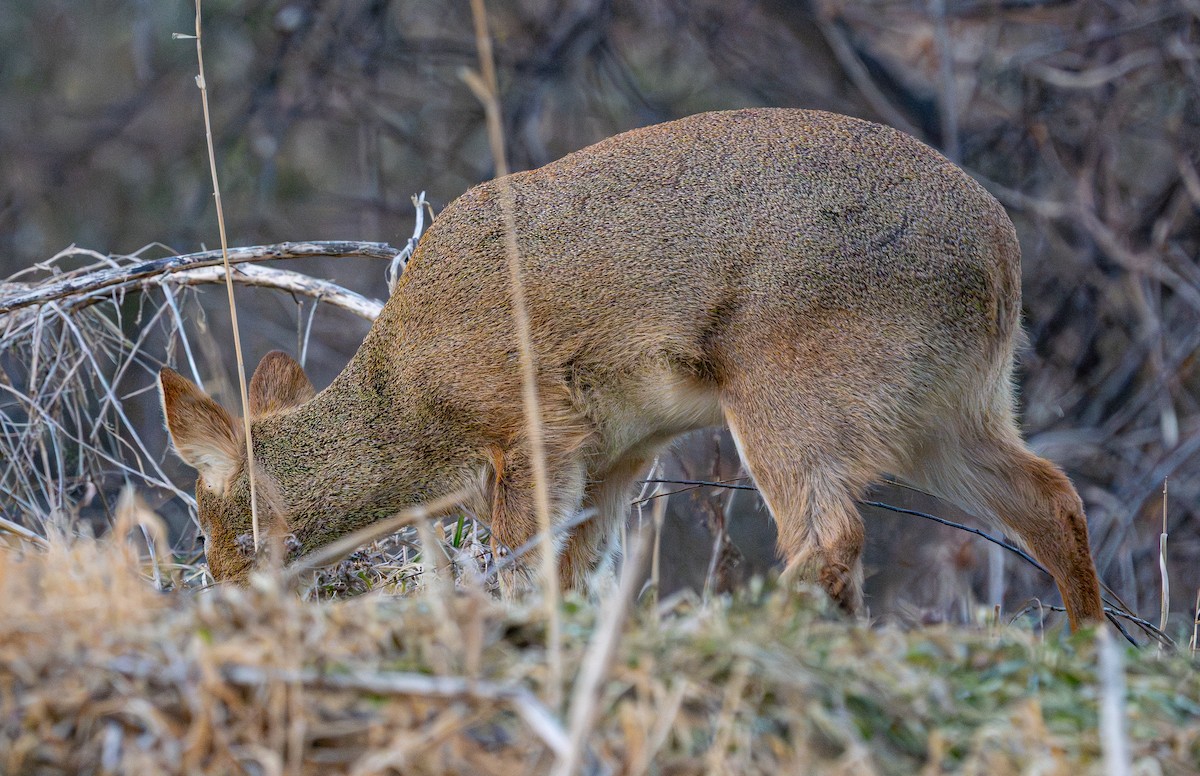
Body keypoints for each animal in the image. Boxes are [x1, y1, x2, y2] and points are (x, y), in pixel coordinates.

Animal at [159, 108, 1106, 630]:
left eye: (208, 528)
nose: (220, 593)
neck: (406, 406)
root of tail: (1001, 253)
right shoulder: (612, 453)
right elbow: (570, 575)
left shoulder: (528, 429)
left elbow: (517, 567)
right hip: (946, 412)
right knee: (1054, 497)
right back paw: (1088, 644)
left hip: (791, 388)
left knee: (831, 533)